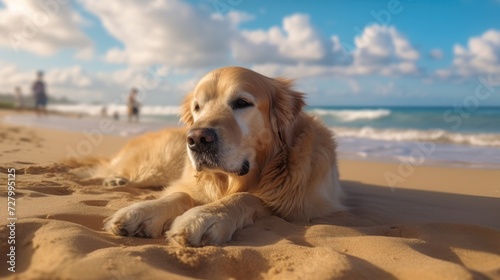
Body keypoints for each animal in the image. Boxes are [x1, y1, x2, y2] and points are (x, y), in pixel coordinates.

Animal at [99, 66, 346, 246]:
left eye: (242, 103)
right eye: (197, 107)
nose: (197, 139)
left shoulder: (296, 207)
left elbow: (248, 198)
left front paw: (206, 216)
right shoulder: (188, 182)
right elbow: (181, 194)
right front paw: (142, 212)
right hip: (156, 166)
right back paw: (114, 180)